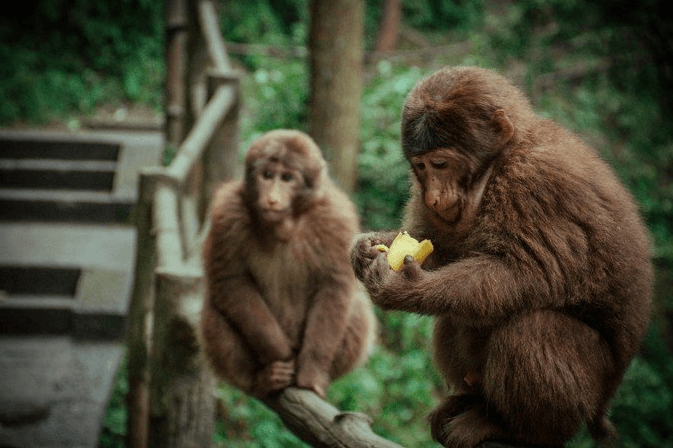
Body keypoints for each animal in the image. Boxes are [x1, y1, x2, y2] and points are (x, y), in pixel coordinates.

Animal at [200, 129, 376, 399]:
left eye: (287, 178)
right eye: (267, 175)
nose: (272, 198)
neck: (286, 223)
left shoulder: (336, 218)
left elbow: (334, 286)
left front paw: (311, 374)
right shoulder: (227, 213)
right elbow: (231, 281)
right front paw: (280, 357)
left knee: (357, 309)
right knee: (214, 312)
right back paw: (260, 380)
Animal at [351, 66, 652, 447]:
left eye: (440, 163)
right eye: (420, 166)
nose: (433, 196)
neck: (498, 164)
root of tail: (602, 408)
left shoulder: (535, 182)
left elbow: (525, 274)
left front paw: (403, 288)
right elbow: (442, 249)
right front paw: (365, 247)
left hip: (591, 386)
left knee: (532, 328)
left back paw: (516, 429)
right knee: (456, 312)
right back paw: (472, 402)